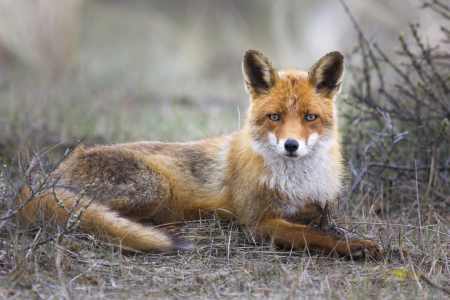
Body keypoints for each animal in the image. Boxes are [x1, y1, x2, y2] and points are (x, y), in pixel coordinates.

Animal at [19, 50, 382, 258]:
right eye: (275, 117)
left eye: (310, 117)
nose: (291, 146)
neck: (297, 180)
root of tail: (45, 178)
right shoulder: (258, 224)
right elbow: (315, 235)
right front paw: (356, 246)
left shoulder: (315, 201)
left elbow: (319, 215)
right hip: (154, 188)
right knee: (95, 219)